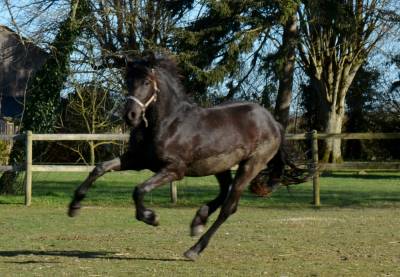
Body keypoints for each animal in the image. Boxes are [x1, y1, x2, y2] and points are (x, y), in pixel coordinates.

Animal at [68, 52, 300, 260]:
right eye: (128, 81)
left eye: (146, 82)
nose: (130, 116)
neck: (167, 123)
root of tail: (273, 122)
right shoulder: (136, 160)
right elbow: (100, 168)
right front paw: (74, 207)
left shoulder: (174, 170)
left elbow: (139, 189)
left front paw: (150, 217)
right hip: (220, 166)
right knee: (223, 193)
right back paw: (198, 221)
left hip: (250, 166)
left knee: (229, 207)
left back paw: (195, 249)